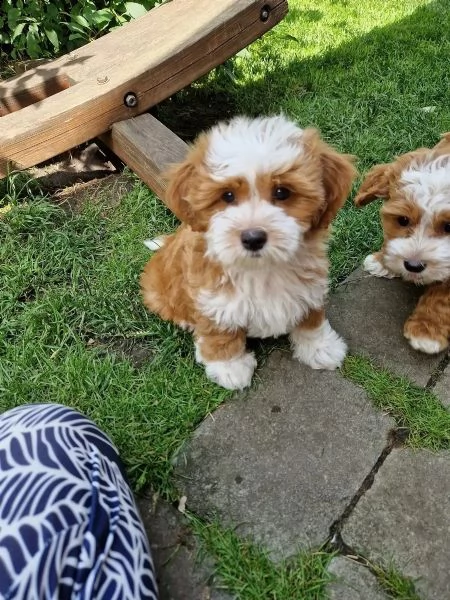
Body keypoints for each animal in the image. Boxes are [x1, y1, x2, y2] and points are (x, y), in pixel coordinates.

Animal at [141, 115, 356, 392]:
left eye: (282, 192)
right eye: (227, 196)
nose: (253, 238)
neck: (261, 268)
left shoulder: (309, 286)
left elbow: (311, 317)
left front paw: (320, 347)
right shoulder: (213, 299)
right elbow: (220, 331)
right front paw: (229, 367)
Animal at [356, 134, 450, 354]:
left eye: (449, 226)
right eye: (403, 220)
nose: (413, 266)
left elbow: (443, 297)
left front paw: (426, 331)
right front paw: (382, 262)